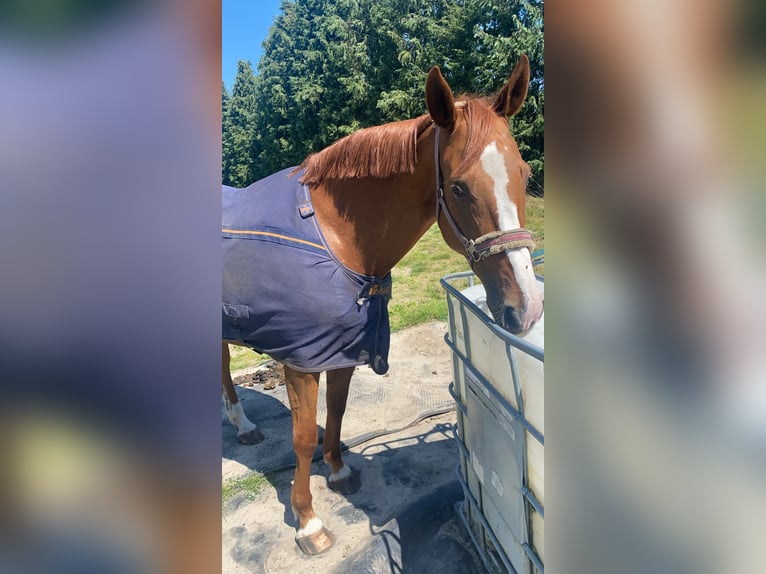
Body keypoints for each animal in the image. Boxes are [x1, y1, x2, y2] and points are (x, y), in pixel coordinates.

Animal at [222, 55, 544, 560]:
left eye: (526, 174)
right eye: (458, 189)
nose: (526, 308)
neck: (337, 239)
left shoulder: (340, 351)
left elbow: (336, 412)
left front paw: (338, 472)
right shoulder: (299, 361)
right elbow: (301, 438)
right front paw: (308, 522)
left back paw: (242, 426)